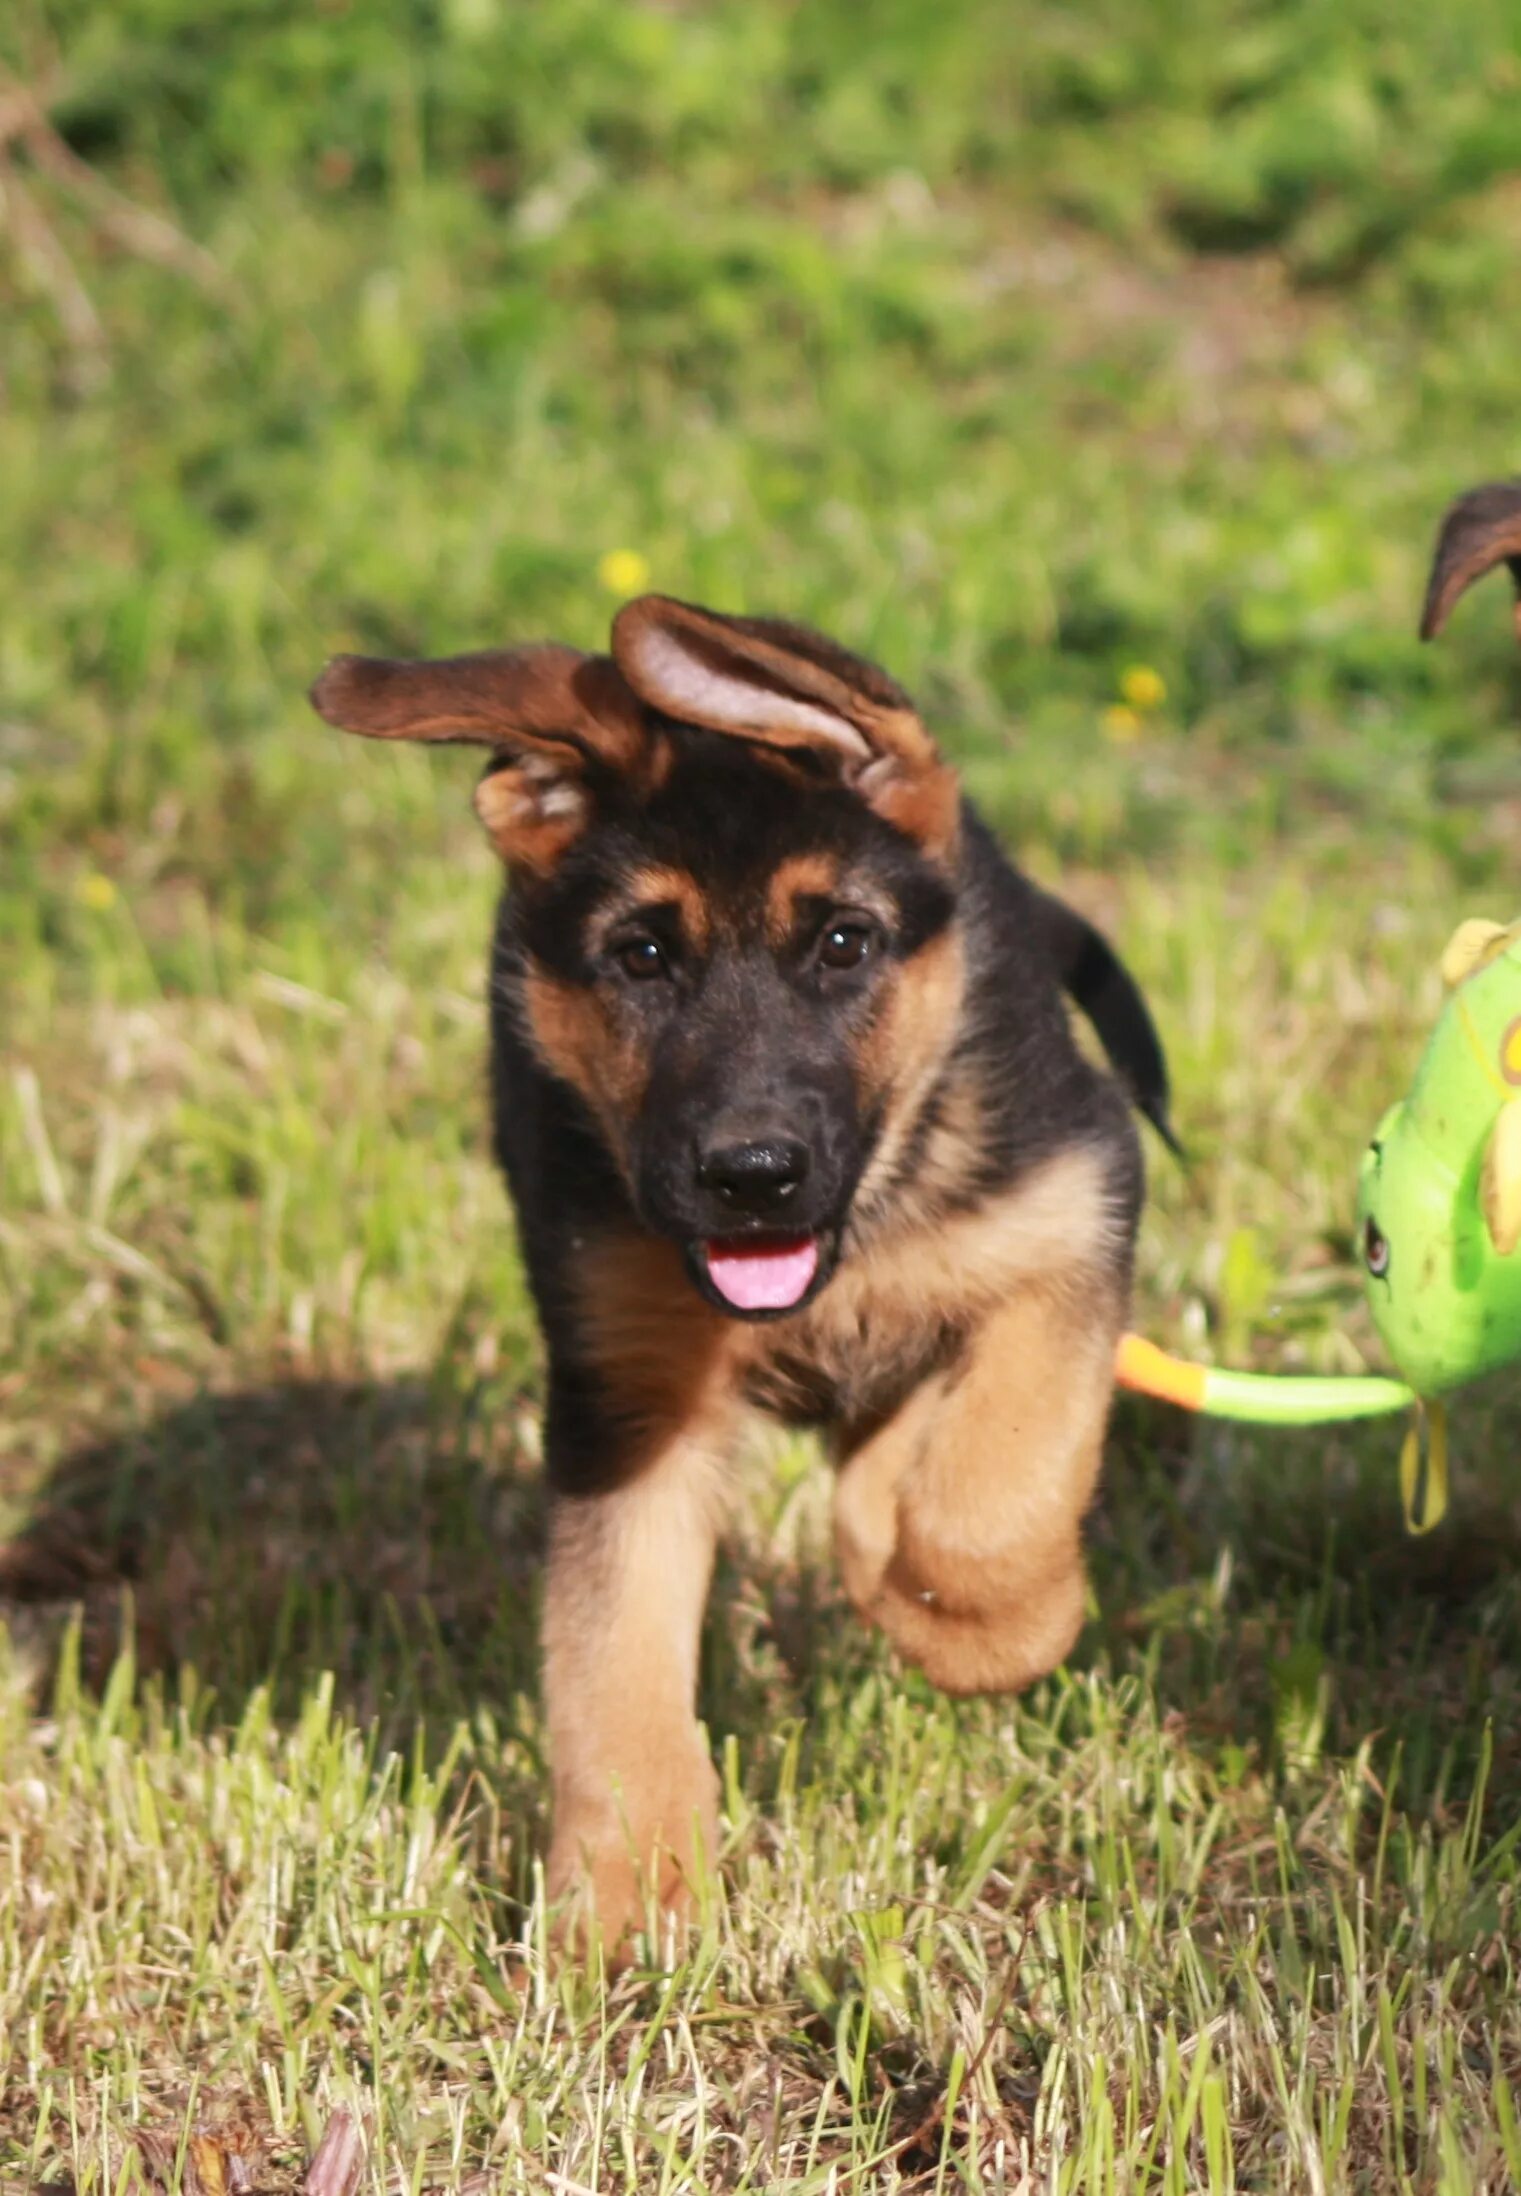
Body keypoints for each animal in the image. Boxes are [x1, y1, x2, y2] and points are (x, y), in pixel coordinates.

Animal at [305, 592, 1158, 1950]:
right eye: (642, 956)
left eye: (845, 944)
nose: (750, 1175)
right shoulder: (628, 1401)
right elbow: (614, 1660)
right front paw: (628, 1903)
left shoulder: (1071, 1212)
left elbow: (993, 1490)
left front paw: (1001, 1631)